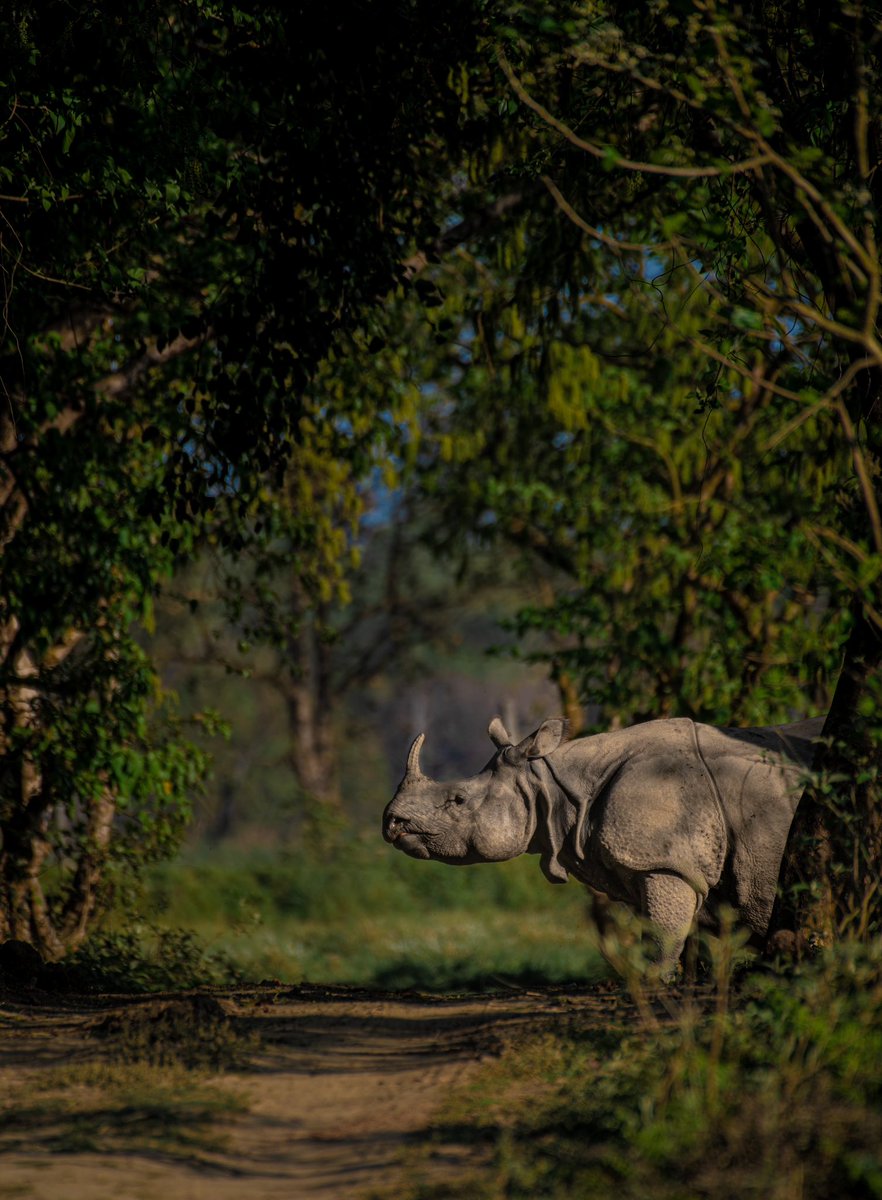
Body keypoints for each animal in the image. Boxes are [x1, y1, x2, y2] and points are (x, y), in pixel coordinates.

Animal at [382, 714, 824, 973]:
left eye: (457, 800)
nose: (392, 822)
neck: (553, 786)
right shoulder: (660, 866)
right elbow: (673, 936)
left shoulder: (663, 864)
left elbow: (663, 941)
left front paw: (655, 991)